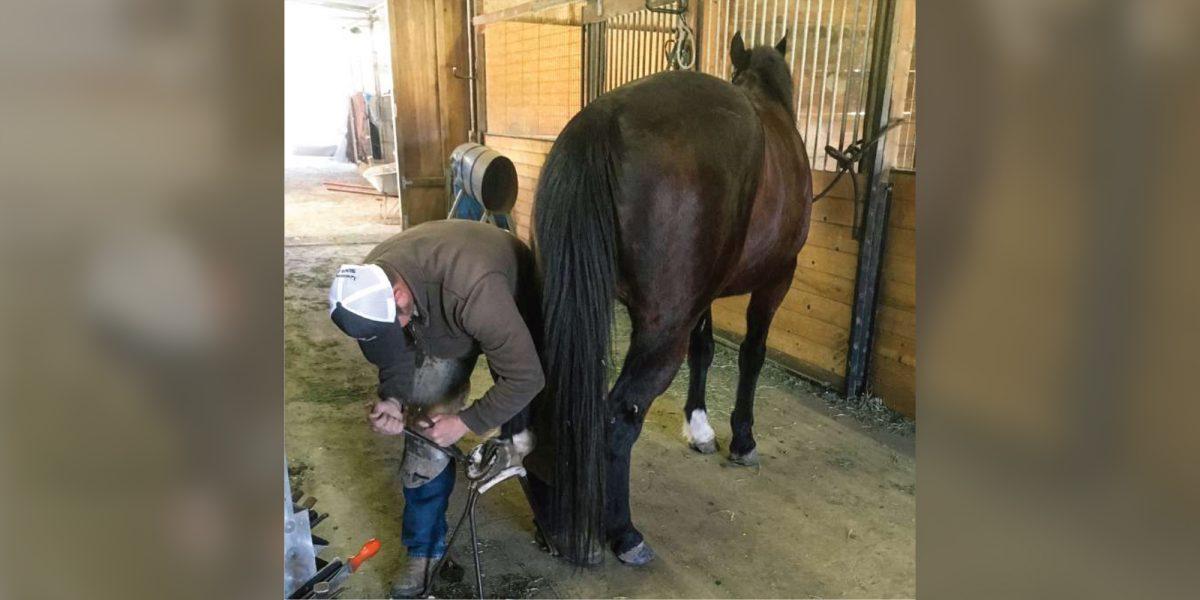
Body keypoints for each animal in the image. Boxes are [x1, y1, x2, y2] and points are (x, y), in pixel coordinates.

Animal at [535, 35, 816, 564]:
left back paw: (554, 525)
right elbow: (752, 355)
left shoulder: (704, 298)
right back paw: (624, 534)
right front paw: (742, 439)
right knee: (619, 416)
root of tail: (604, 117)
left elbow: (703, 352)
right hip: (662, 329)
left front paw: (700, 428)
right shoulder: (777, 279)